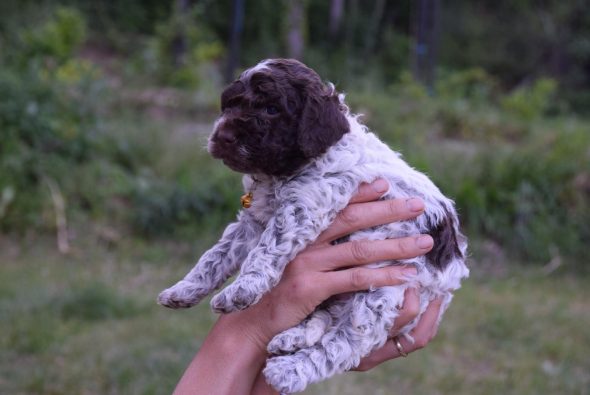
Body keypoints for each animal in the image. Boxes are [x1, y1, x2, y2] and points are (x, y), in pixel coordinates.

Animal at [158, 58, 472, 392]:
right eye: (229, 104)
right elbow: (216, 255)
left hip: (384, 291)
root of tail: (452, 279)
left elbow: (264, 252)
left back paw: (289, 371)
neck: (281, 173)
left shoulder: (302, 207)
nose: (223, 136)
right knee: (327, 318)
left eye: (271, 109)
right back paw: (291, 338)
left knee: (348, 343)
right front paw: (184, 289)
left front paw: (240, 291)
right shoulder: (254, 220)